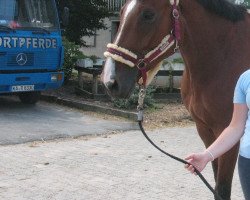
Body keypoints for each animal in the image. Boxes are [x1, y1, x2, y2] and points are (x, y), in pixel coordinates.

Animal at [101, 0, 250, 200]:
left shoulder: (228, 131)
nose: (110, 81)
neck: (224, 56)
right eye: (122, 11)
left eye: (148, 14)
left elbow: (222, 189)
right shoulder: (206, 130)